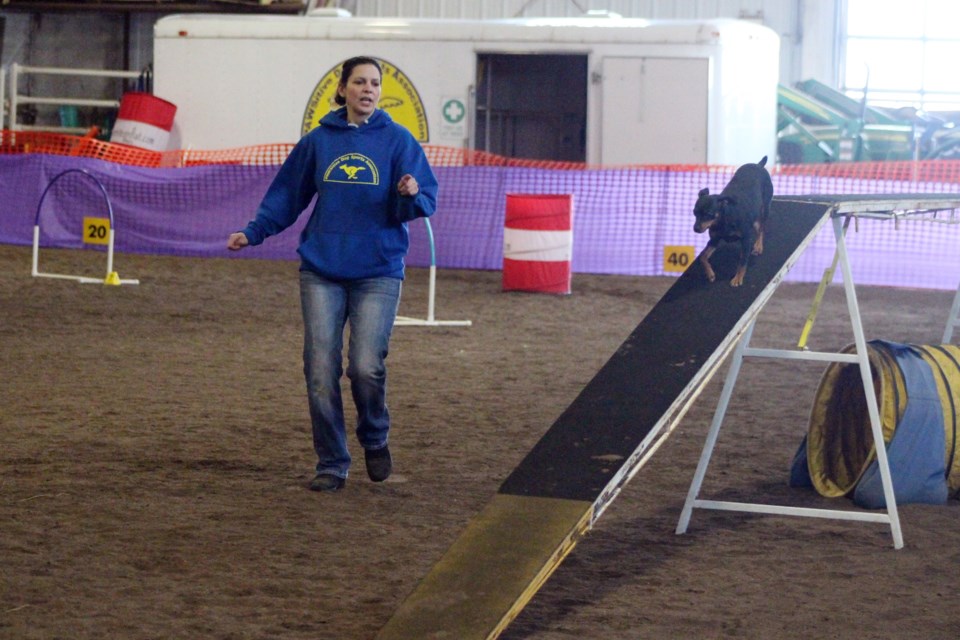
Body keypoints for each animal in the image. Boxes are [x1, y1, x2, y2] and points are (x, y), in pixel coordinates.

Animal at [688, 156, 772, 286]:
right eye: (694, 213)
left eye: (708, 215)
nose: (695, 229)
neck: (723, 219)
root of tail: (759, 165)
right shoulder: (714, 240)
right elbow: (703, 257)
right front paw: (710, 274)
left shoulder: (746, 240)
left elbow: (742, 261)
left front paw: (737, 278)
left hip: (763, 211)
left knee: (761, 229)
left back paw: (758, 246)